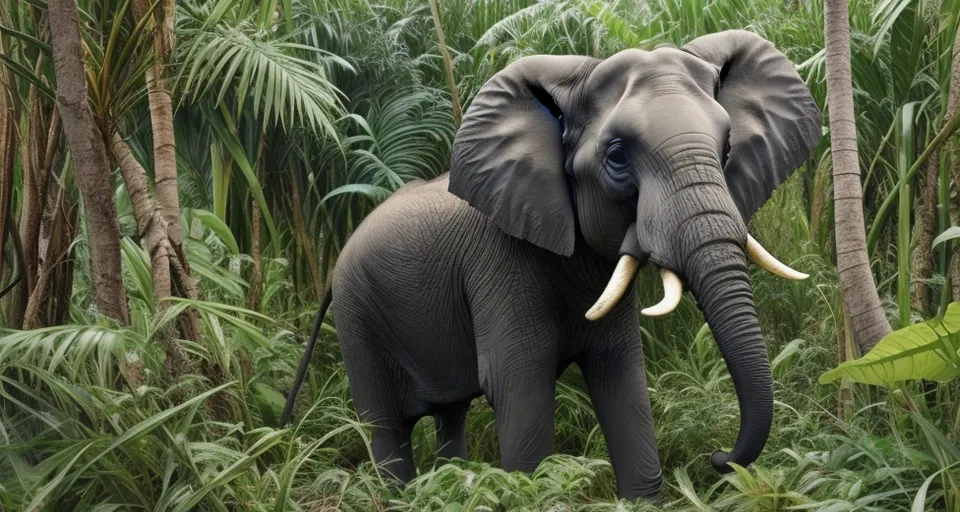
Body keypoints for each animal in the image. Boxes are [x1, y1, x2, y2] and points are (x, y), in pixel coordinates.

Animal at [282, 29, 820, 500]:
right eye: (618, 157)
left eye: (727, 149)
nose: (717, 457)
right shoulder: (499, 262)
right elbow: (518, 381)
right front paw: (529, 490)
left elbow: (620, 373)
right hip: (357, 315)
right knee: (386, 425)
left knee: (450, 413)